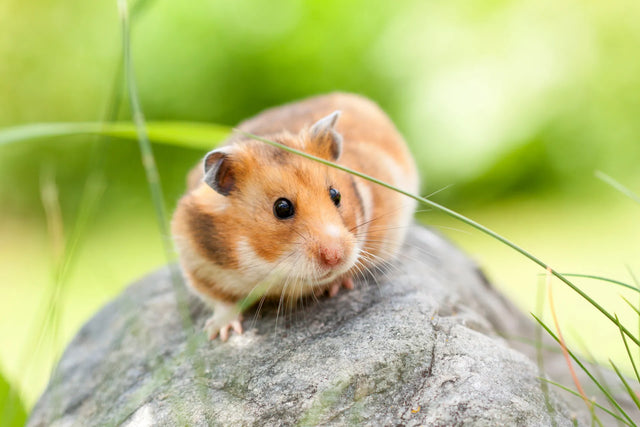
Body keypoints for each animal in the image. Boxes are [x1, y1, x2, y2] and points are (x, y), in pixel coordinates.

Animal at [171, 93, 419, 341]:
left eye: (336, 195)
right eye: (281, 208)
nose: (335, 257)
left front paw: (335, 286)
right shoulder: (195, 261)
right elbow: (219, 300)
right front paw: (221, 333)